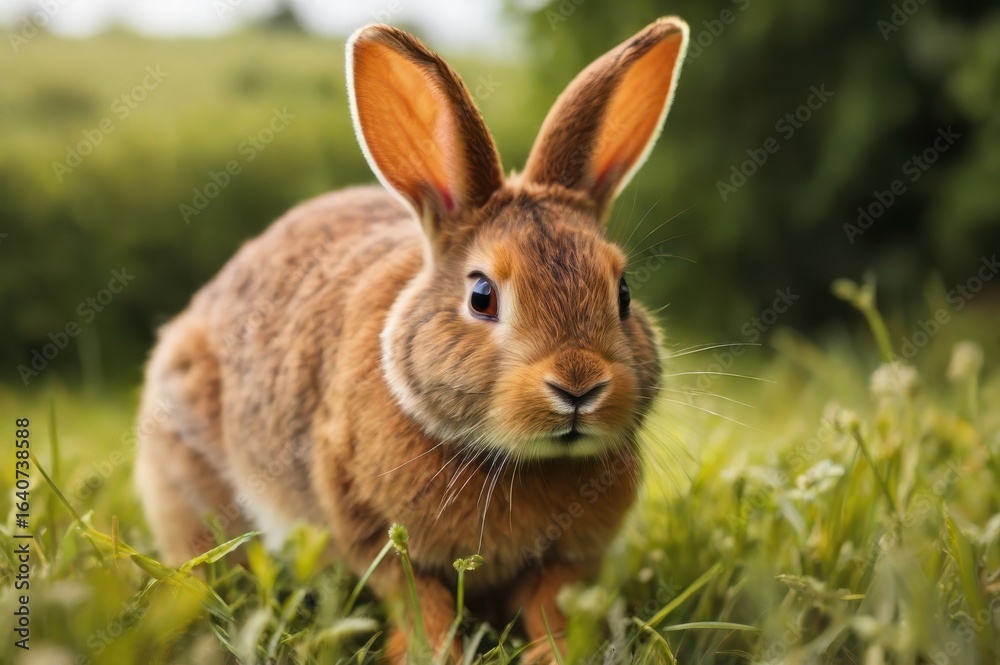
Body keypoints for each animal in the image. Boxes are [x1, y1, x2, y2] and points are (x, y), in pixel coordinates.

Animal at [134, 15, 689, 664]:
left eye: (623, 292)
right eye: (482, 296)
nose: (579, 385)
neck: (513, 459)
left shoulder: (566, 562)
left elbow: (551, 606)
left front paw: (553, 652)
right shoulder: (372, 531)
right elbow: (419, 599)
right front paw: (434, 651)